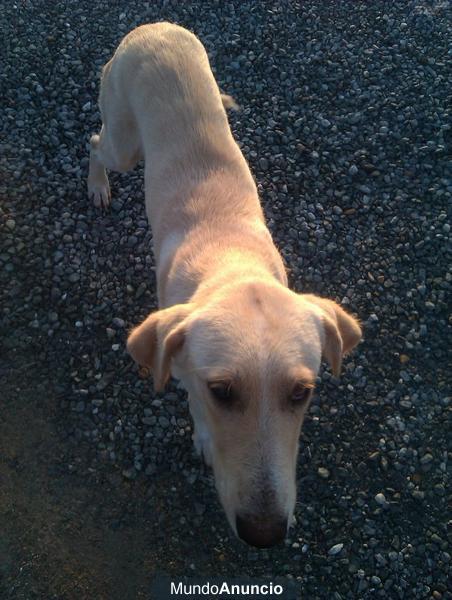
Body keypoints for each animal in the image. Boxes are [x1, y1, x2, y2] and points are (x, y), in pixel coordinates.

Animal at [88, 23, 362, 548]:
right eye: (222, 391)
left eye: (301, 393)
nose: (265, 533)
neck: (232, 265)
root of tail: (151, 26)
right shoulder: (179, 365)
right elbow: (193, 404)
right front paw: (203, 438)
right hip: (124, 145)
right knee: (96, 141)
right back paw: (96, 185)